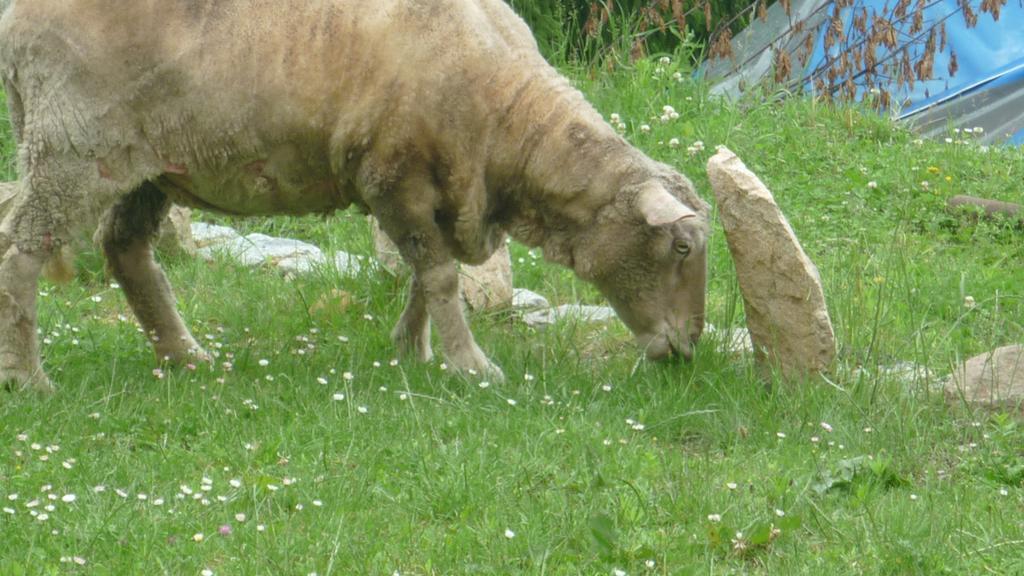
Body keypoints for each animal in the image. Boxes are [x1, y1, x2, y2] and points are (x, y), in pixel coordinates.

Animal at [0, 1, 708, 389]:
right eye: (679, 247)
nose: (686, 352)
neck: (511, 123)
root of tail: (15, 21)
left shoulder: (437, 190)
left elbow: (426, 277)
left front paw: (412, 351)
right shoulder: (393, 175)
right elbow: (442, 276)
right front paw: (472, 368)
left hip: (146, 163)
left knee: (124, 249)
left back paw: (185, 356)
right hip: (71, 144)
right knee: (21, 252)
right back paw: (27, 378)